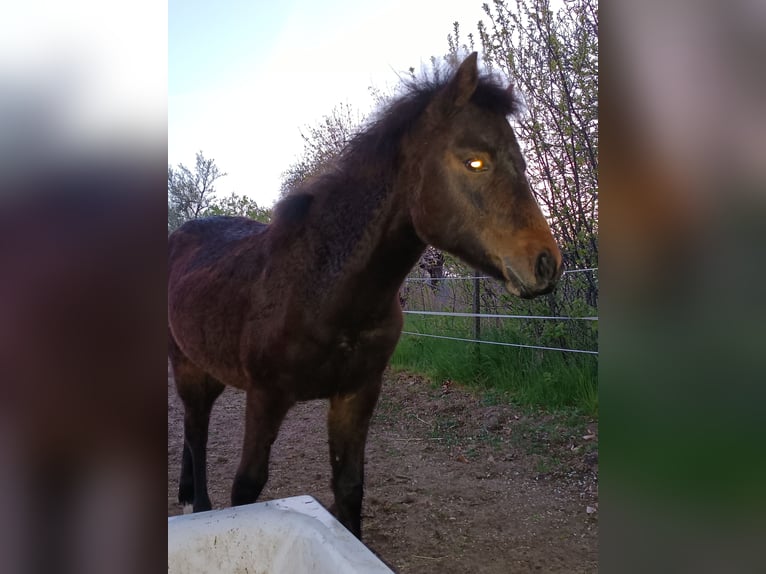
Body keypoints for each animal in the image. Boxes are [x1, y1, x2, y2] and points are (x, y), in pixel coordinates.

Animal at [167, 52, 563, 538]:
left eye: (521, 162)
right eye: (474, 162)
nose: (545, 263)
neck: (324, 291)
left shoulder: (356, 393)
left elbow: (349, 487)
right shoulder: (265, 396)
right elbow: (246, 488)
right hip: (186, 366)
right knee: (195, 432)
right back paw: (197, 503)